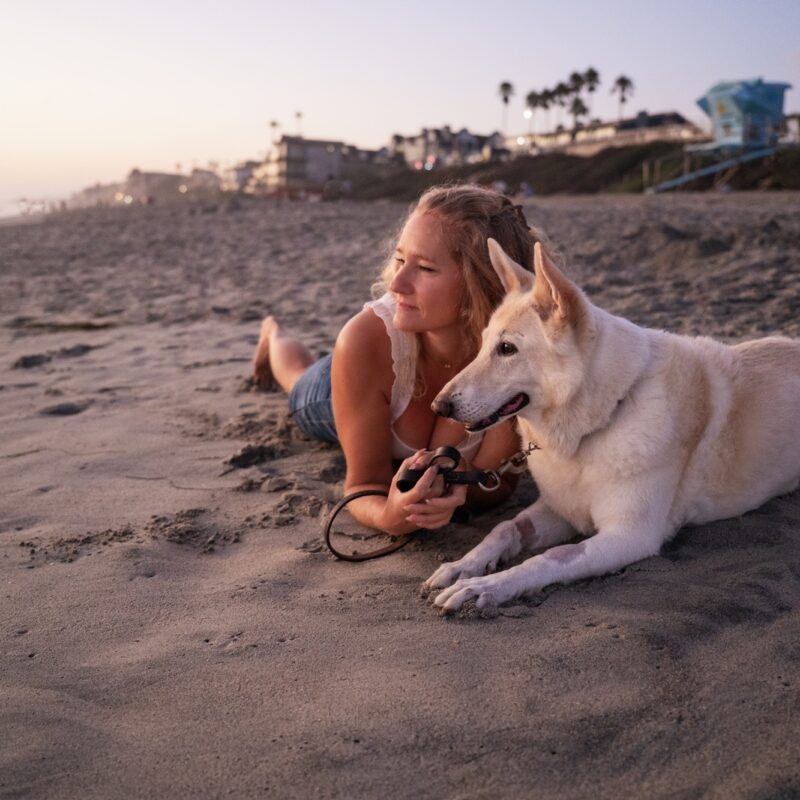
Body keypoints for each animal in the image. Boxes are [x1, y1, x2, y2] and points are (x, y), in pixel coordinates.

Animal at [425, 238, 800, 612]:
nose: (439, 406)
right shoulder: (558, 509)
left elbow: (549, 557)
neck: (598, 420)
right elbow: (504, 528)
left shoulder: (628, 536)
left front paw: (486, 586)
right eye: (484, 343)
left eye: (507, 348)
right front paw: (462, 566)